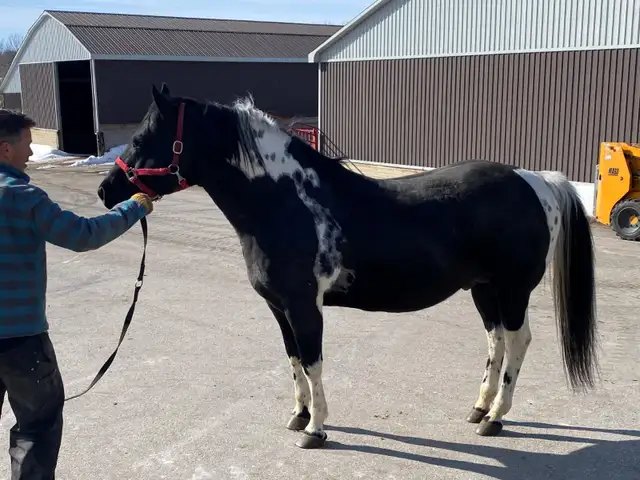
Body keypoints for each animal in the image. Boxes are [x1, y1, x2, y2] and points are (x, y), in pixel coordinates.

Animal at [97, 83, 598, 450]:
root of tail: (535, 180)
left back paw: (495, 418)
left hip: (513, 289)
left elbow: (314, 362)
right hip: (484, 288)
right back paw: (478, 408)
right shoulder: (280, 309)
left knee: (517, 341)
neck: (286, 203)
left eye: (142, 139)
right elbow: (294, 360)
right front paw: (298, 415)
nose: (106, 190)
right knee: (495, 340)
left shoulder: (304, 306)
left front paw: (316, 429)